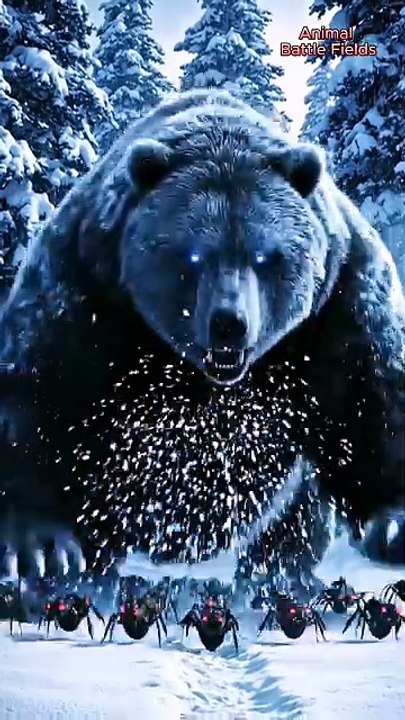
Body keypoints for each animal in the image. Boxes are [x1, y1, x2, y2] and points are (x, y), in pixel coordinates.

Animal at [0, 88, 404, 579]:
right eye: (192, 256)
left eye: (267, 256)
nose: (229, 323)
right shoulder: (91, 288)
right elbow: (44, 391)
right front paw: (41, 547)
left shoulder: (336, 299)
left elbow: (373, 392)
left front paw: (394, 524)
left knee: (290, 532)